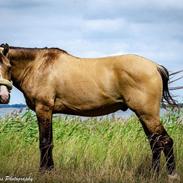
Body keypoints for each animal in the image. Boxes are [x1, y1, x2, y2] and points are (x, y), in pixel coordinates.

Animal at [0, 43, 179, 180]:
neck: (38, 66)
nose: (3, 96)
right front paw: (50, 170)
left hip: (148, 115)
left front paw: (44, 172)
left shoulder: (43, 108)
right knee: (155, 143)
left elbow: (45, 142)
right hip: (143, 115)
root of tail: (155, 66)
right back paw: (154, 174)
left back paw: (172, 175)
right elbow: (50, 142)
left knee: (165, 141)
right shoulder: (48, 111)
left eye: (8, 66)